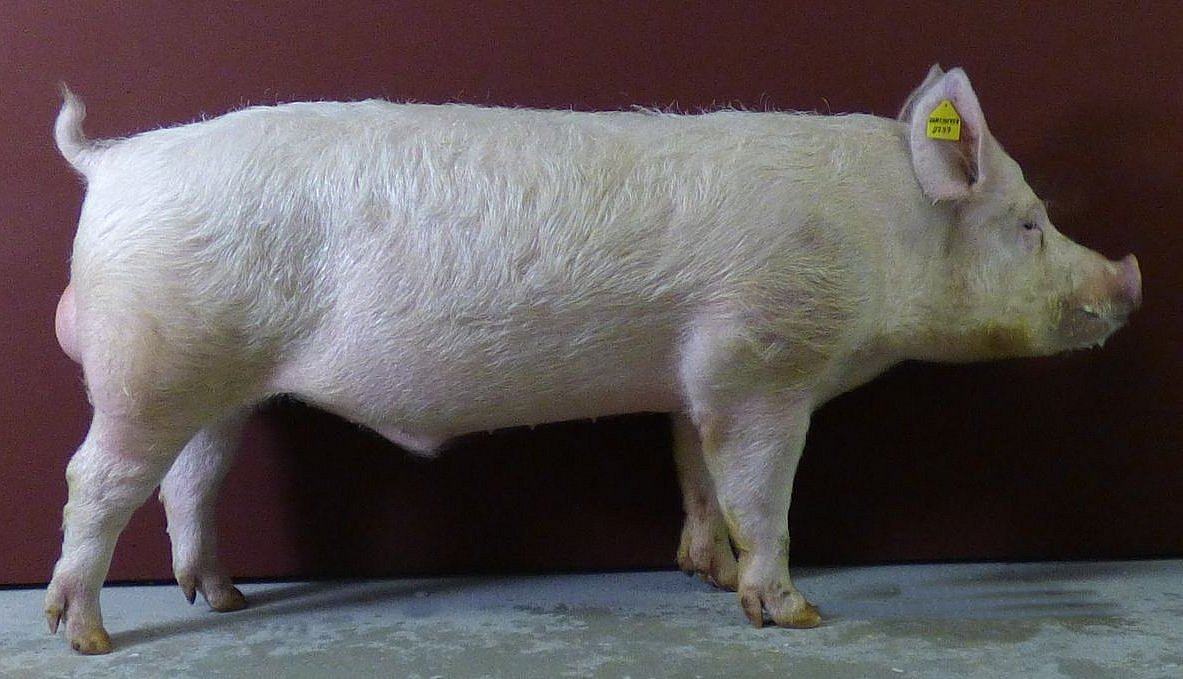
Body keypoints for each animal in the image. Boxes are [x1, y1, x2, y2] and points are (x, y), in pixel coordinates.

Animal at [50, 68, 1140, 652]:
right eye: (1029, 221)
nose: (1128, 276)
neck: (877, 238)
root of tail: (111, 160)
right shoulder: (764, 362)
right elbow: (761, 491)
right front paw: (795, 613)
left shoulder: (695, 382)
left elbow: (697, 475)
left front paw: (707, 577)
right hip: (151, 367)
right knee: (95, 480)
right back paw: (89, 633)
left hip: (218, 387)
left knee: (190, 482)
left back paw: (223, 595)